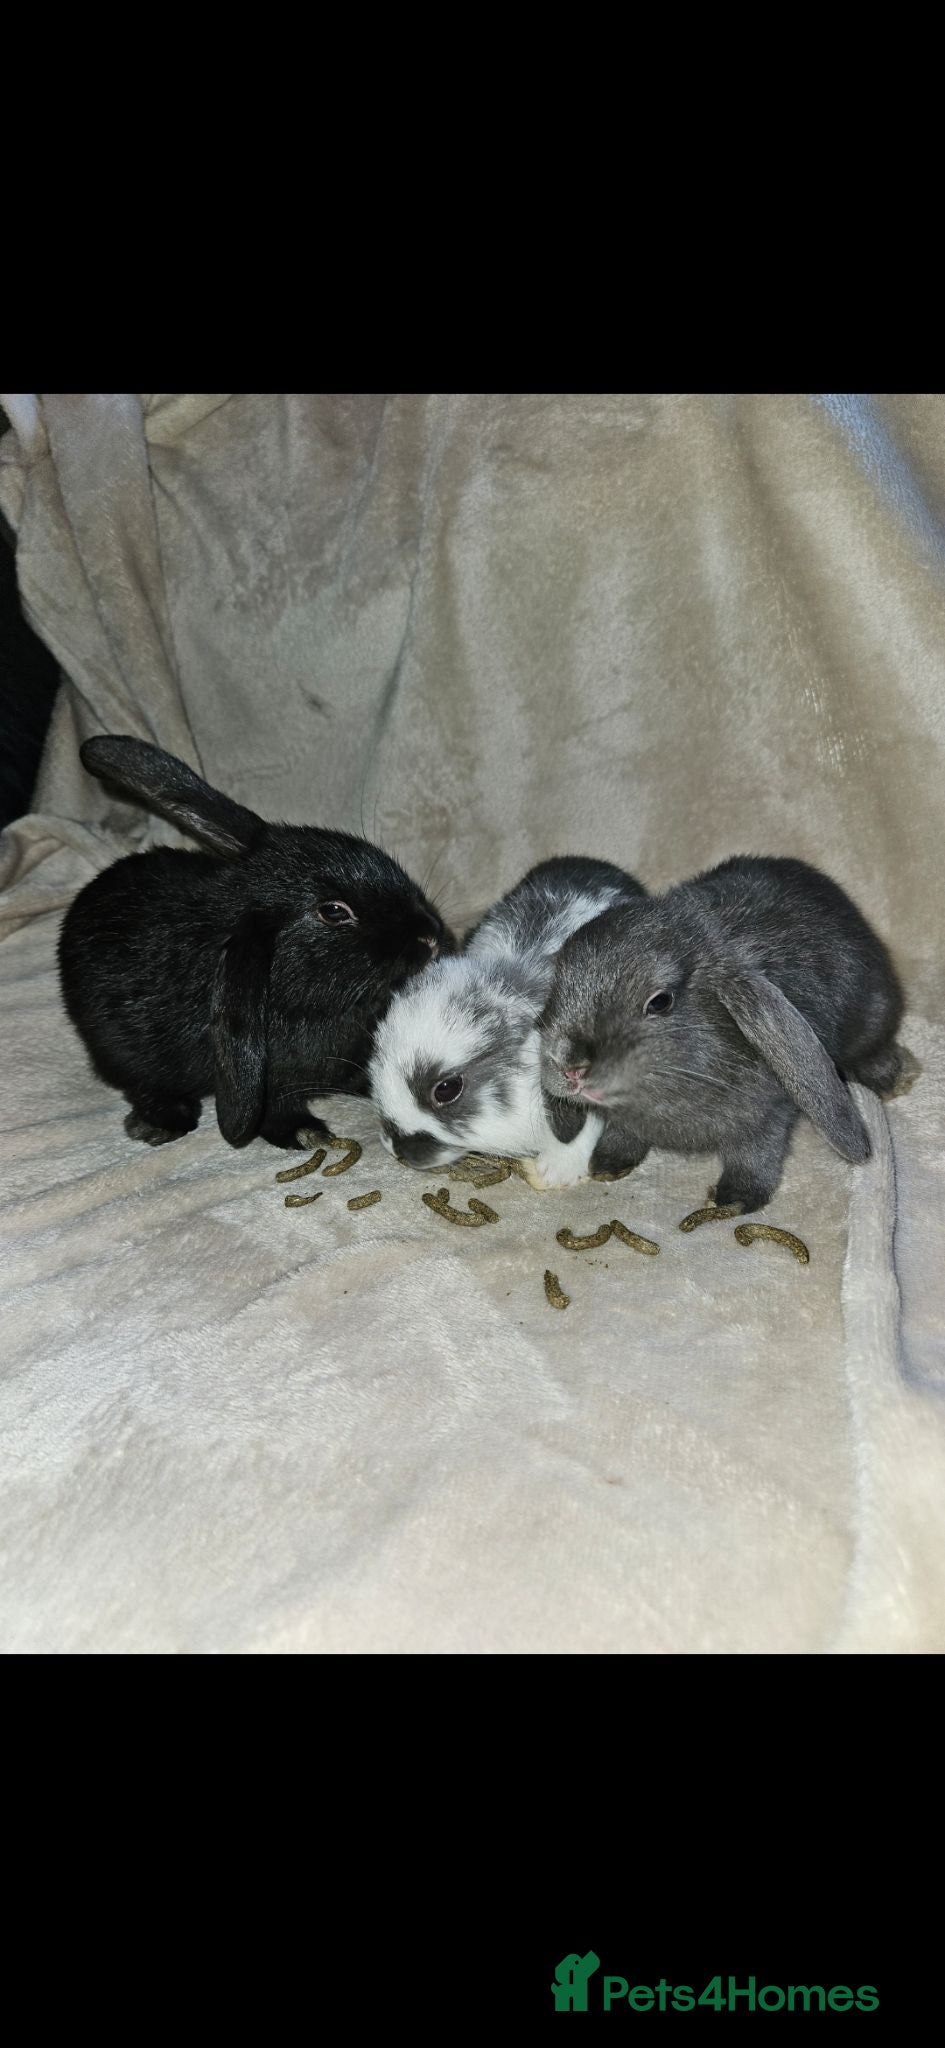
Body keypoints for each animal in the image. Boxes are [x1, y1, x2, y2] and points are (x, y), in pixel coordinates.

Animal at [58, 735, 453, 1150]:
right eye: (333, 912)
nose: (431, 935)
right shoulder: (273, 1084)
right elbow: (276, 1111)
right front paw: (307, 1134)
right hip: (116, 1048)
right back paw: (163, 1122)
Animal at [539, 854, 906, 1207]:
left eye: (660, 1002)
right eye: (557, 984)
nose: (569, 1066)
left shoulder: (769, 1115)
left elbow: (756, 1153)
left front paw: (736, 1199)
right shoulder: (626, 1122)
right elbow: (622, 1134)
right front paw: (606, 1165)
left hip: (873, 1016)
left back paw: (890, 1079)